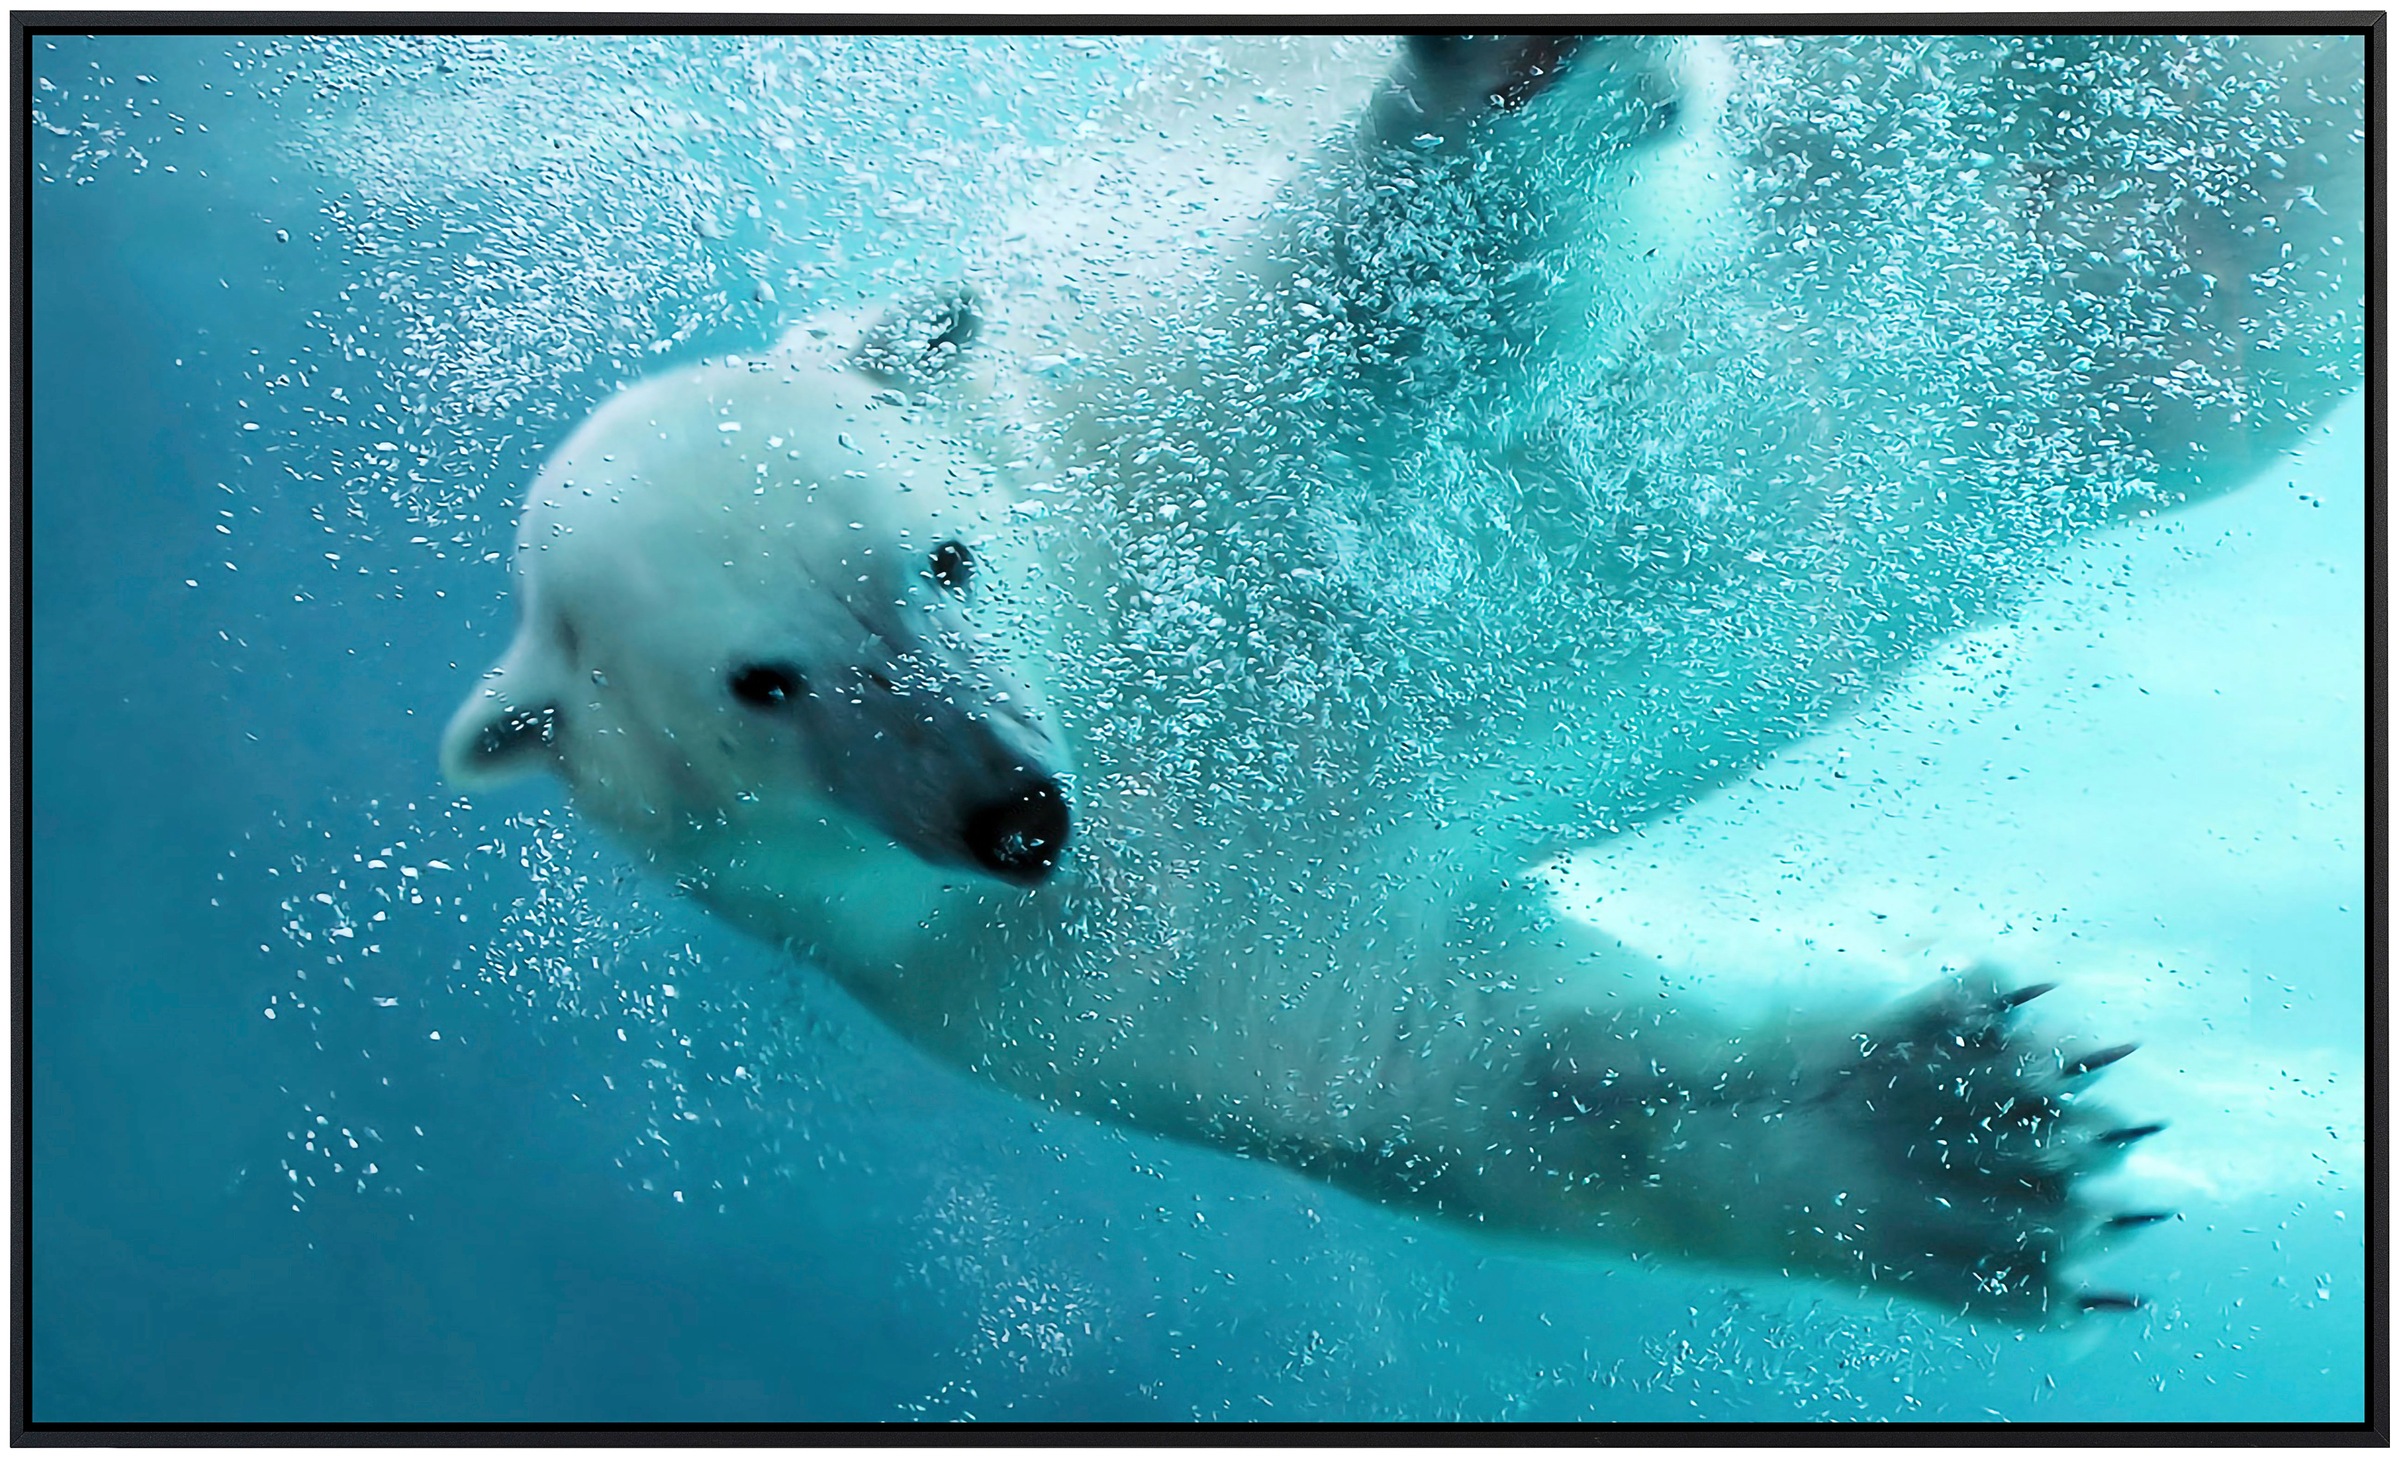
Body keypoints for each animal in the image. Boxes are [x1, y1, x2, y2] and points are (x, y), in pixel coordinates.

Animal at [436, 34, 2361, 1323]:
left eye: (941, 556)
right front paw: (1973, 1143)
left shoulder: (1183, 386)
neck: (1124, 659)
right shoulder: (1083, 972)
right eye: (761, 684)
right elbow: (1469, 1068)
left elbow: (1421, 282)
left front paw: (1504, 62)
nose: (1016, 810)